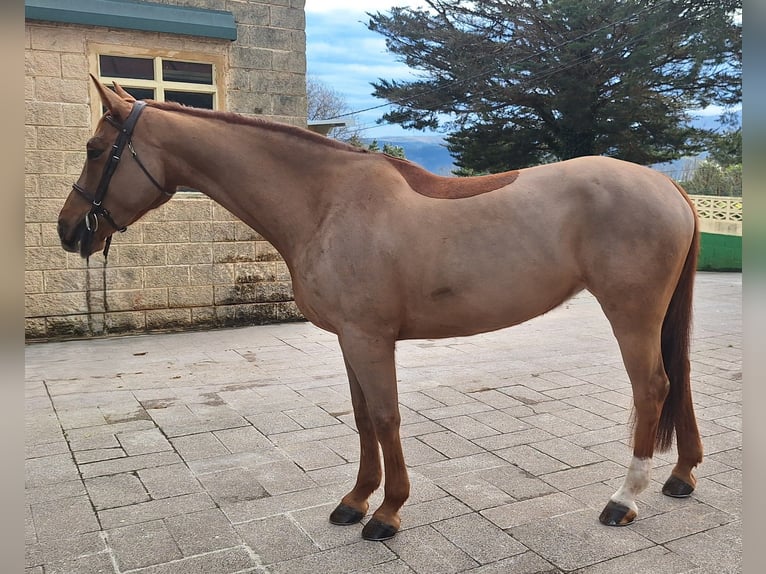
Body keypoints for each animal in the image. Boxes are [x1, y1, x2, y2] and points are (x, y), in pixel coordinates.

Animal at [57, 76, 703, 541]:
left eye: (94, 149)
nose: (68, 230)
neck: (326, 202)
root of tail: (669, 187)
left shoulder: (369, 337)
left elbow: (387, 416)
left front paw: (388, 513)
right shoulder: (349, 338)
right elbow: (363, 417)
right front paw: (353, 501)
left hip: (631, 314)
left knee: (653, 387)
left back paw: (623, 500)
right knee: (682, 380)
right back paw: (681, 476)